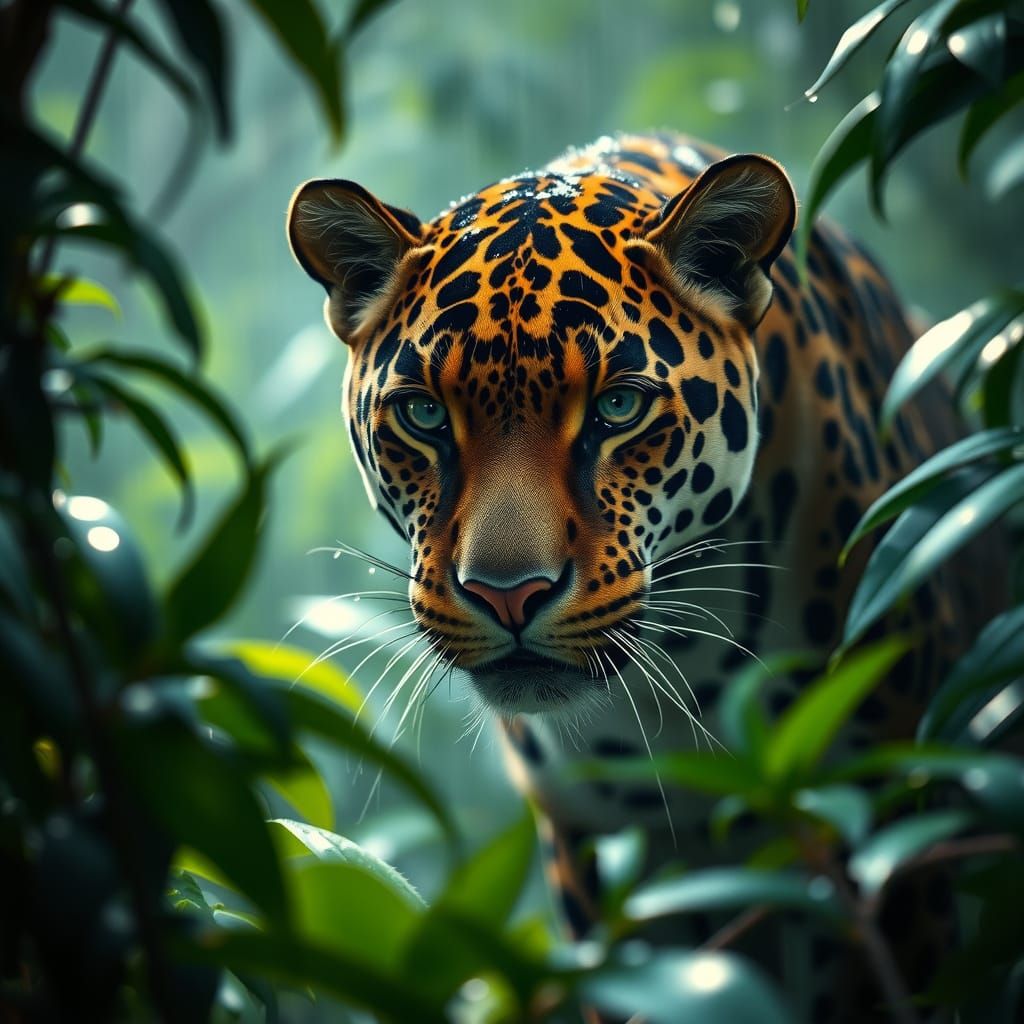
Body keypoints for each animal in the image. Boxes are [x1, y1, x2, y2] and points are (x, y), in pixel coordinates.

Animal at [287, 132, 999, 1022]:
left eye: (618, 409)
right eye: (423, 415)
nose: (508, 595)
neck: (686, 686)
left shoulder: (887, 831)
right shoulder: (603, 866)